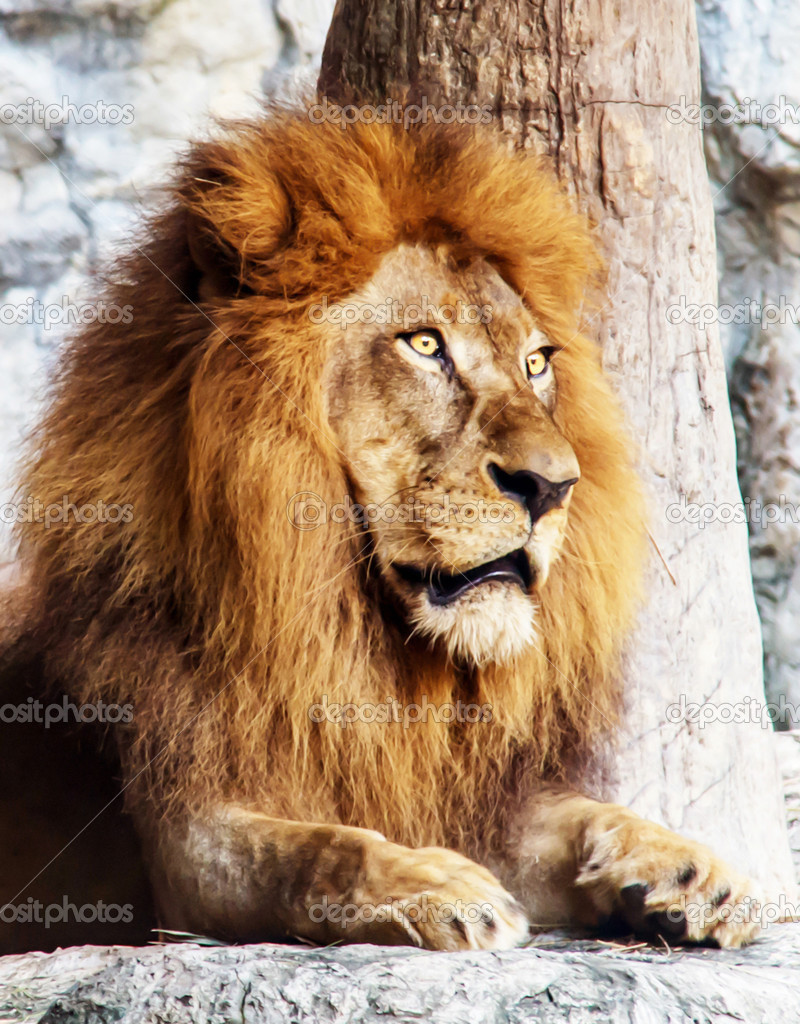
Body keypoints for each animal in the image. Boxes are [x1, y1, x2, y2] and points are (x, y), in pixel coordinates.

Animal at [0, 101, 762, 950]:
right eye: (424, 344)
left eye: (537, 363)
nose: (553, 485)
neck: (366, 643)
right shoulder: (186, 848)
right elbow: (318, 851)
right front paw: (438, 886)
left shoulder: (468, 795)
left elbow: (591, 817)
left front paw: (693, 872)